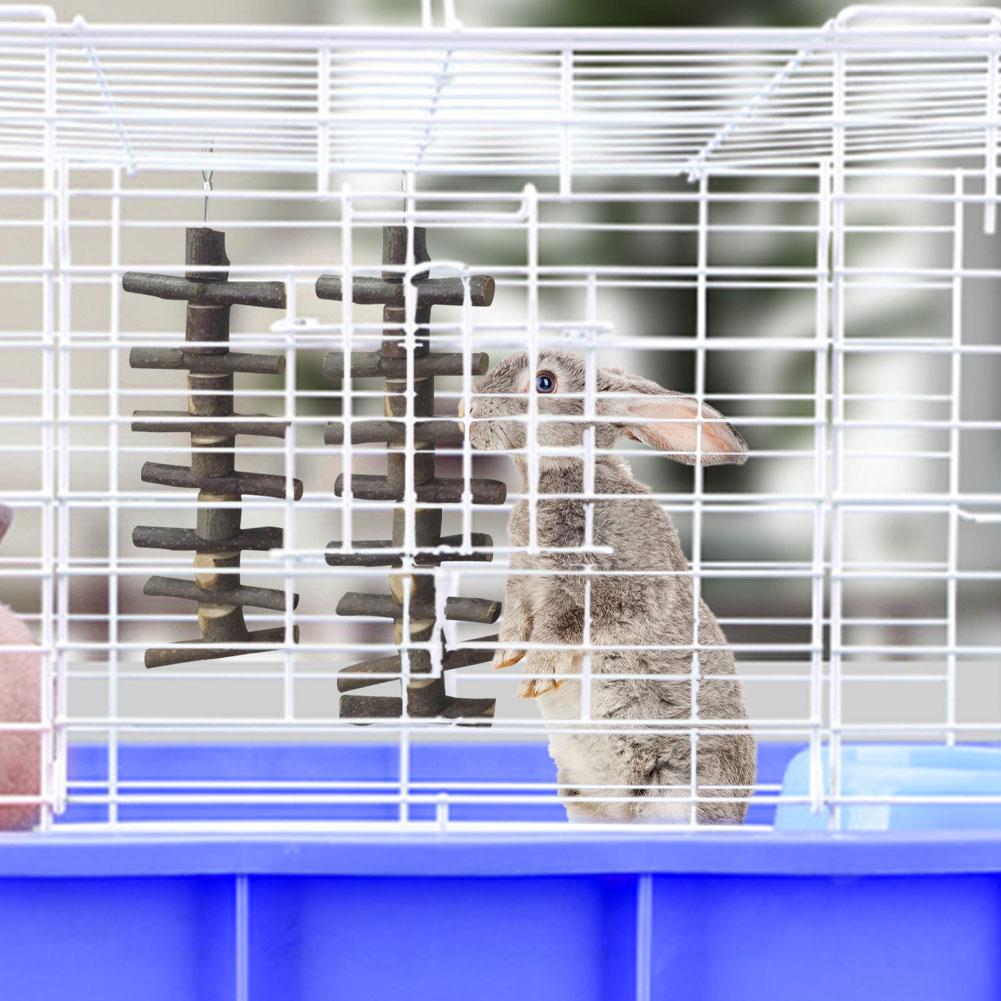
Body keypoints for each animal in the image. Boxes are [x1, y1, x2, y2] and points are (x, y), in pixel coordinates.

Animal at [464, 350, 752, 820]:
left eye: (545, 383)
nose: (465, 410)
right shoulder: (521, 583)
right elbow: (518, 618)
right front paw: (505, 657)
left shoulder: (615, 590)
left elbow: (565, 627)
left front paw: (536, 676)